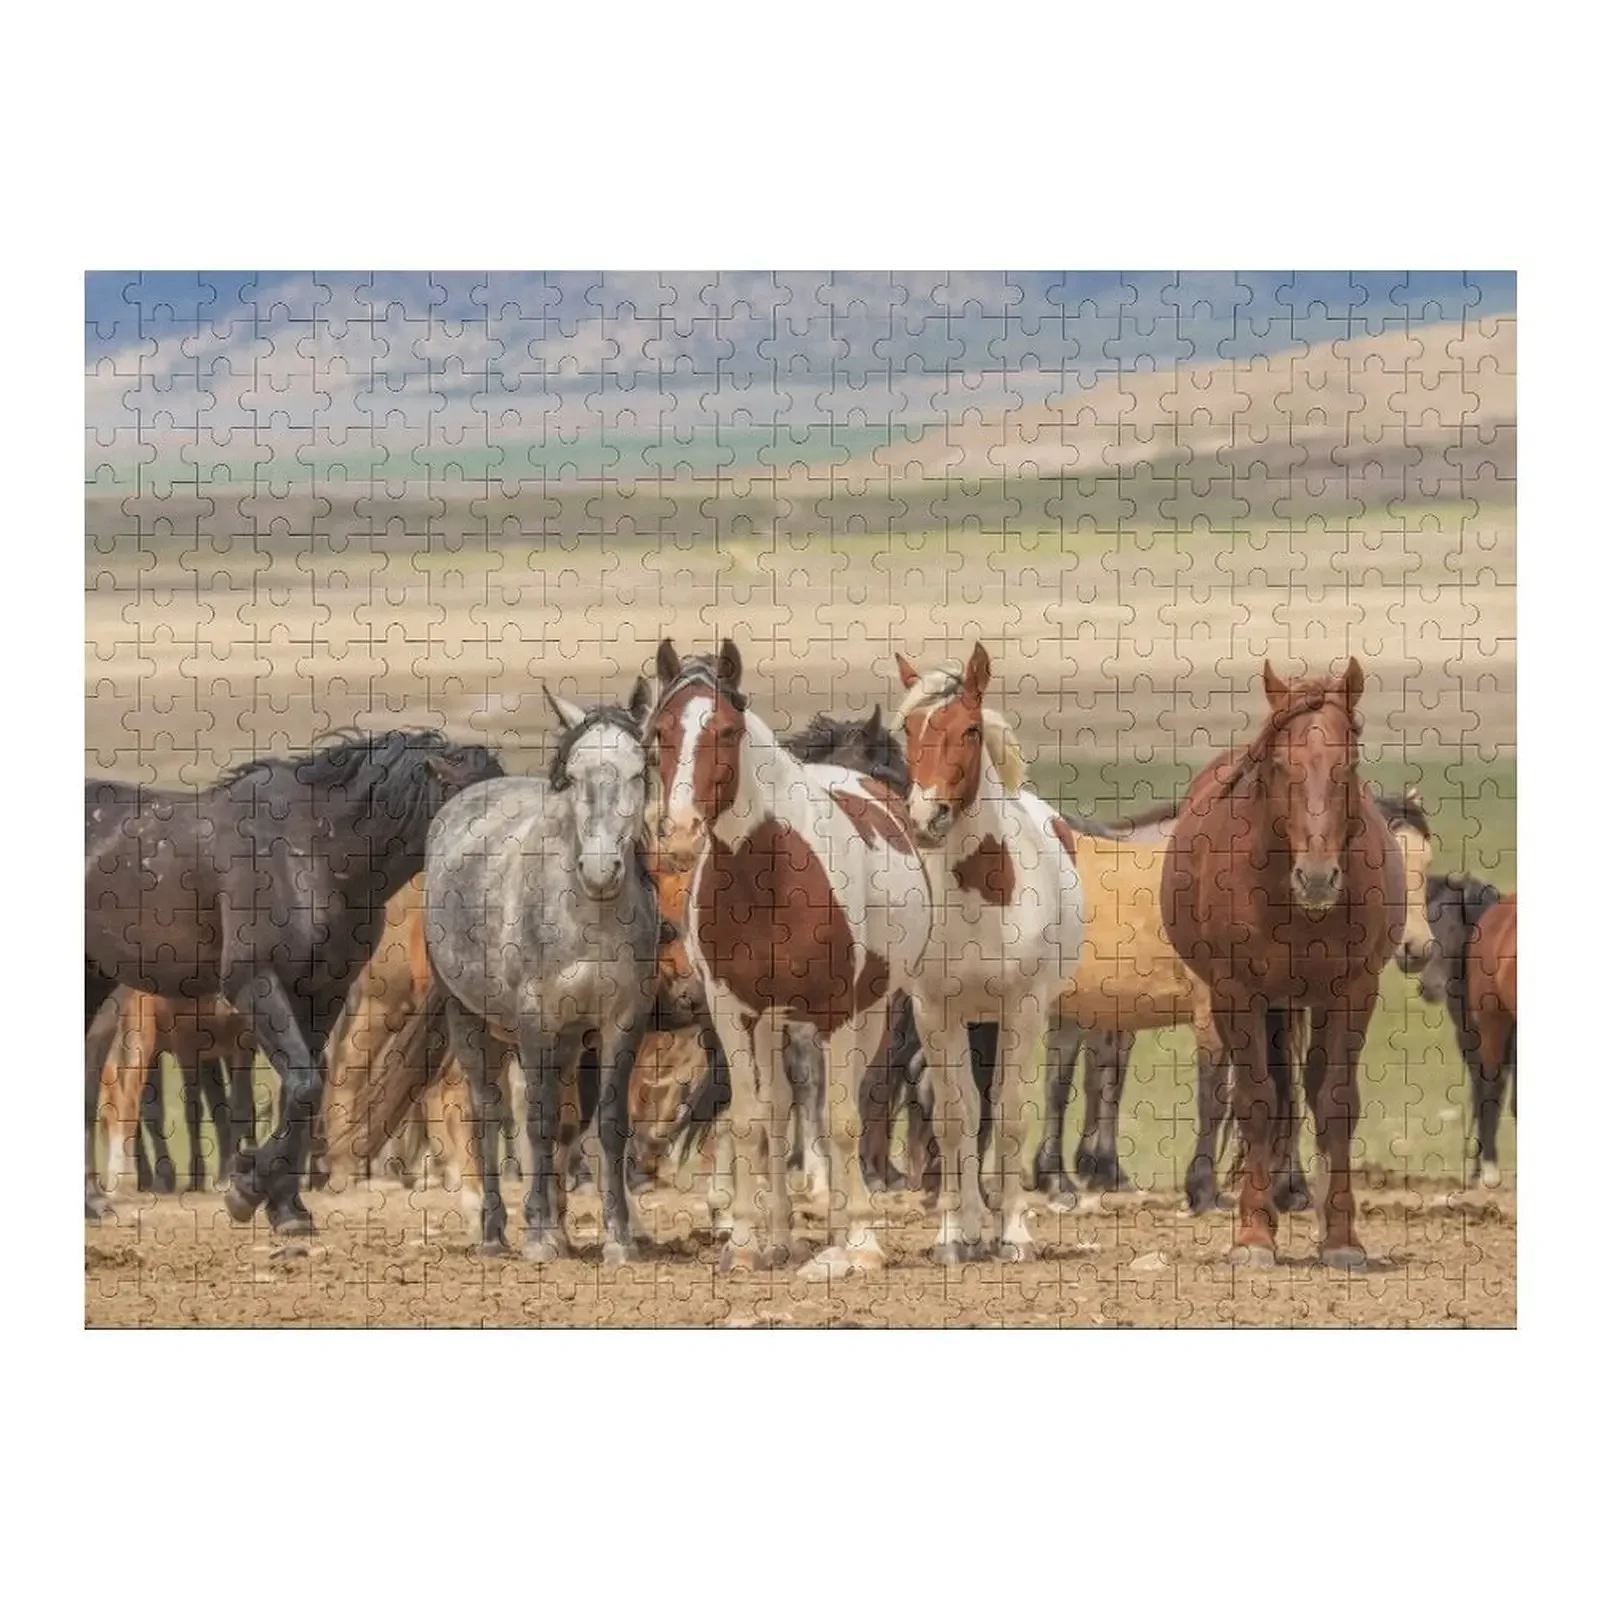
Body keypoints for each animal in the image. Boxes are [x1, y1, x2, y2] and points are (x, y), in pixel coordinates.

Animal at [91, 989, 258, 1199]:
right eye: (103, 1124)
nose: (111, 1188)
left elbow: (218, 1109)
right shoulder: (177, 1048)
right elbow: (157, 1112)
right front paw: (166, 1177)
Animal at [424, 683, 657, 1261]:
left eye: (638, 770)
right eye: (571, 775)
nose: (600, 870)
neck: (586, 915)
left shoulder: (621, 1022)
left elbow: (609, 1126)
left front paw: (619, 1237)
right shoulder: (535, 1022)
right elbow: (538, 1120)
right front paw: (536, 1235)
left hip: (570, 1040)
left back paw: (558, 1223)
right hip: (468, 1018)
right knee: (487, 1112)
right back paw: (495, 1232)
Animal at [648, 639, 933, 1278]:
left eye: (726, 730)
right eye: (660, 731)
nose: (680, 832)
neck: (771, 874)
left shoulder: (839, 1013)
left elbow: (844, 1120)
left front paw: (858, 1240)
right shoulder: (733, 1013)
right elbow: (751, 1120)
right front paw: (745, 1242)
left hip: (868, 1013)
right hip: (771, 1023)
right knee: (777, 1114)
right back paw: (779, 1237)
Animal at [894, 643, 1085, 1262]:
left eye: (970, 729)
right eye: (909, 728)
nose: (926, 817)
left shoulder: (1022, 1010)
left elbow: (1010, 1113)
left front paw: (1015, 1233)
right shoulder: (935, 1012)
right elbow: (956, 1116)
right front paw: (956, 1234)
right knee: (966, 1111)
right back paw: (975, 1222)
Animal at [1161, 660, 1404, 1268]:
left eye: (1350, 763)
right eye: (1277, 764)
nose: (1316, 878)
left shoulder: (1353, 991)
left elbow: (1335, 1102)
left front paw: (1341, 1238)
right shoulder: (1236, 993)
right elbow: (1256, 1101)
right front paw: (1253, 1234)